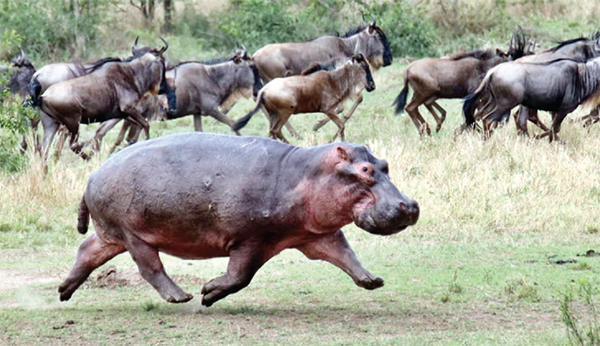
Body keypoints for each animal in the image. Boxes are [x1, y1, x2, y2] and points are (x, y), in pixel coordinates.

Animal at [58, 132, 420, 306]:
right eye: (365, 169)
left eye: (385, 164)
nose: (410, 205)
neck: (306, 173)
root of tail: (92, 175)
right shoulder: (252, 238)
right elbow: (240, 276)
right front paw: (207, 293)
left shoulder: (315, 234)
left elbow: (345, 254)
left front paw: (372, 280)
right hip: (133, 233)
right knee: (150, 267)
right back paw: (181, 296)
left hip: (111, 233)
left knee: (87, 250)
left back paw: (63, 291)